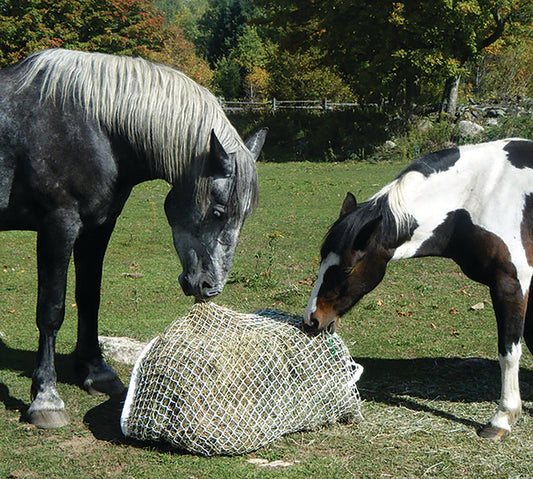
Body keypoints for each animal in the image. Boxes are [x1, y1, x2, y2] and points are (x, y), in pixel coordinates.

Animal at [0, 48, 266, 430]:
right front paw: (46, 397)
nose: (209, 287)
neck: (96, 126)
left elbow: (89, 297)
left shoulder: (97, 228)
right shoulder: (58, 226)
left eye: (243, 216)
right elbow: (51, 310)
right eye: (218, 211)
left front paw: (96, 372)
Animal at [304, 138, 532, 438]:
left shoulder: (510, 285)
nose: (311, 319)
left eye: (346, 269)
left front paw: (502, 418)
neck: (483, 193)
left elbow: (508, 351)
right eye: (321, 259)